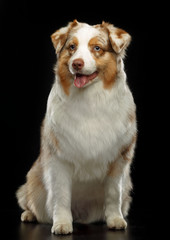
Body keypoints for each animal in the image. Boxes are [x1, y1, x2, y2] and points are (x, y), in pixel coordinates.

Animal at [15, 19, 137, 234]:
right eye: (72, 47)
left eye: (97, 48)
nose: (76, 63)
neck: (89, 100)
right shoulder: (59, 158)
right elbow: (61, 195)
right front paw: (62, 224)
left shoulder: (119, 158)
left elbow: (113, 193)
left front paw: (115, 220)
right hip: (32, 178)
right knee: (28, 200)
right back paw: (29, 215)